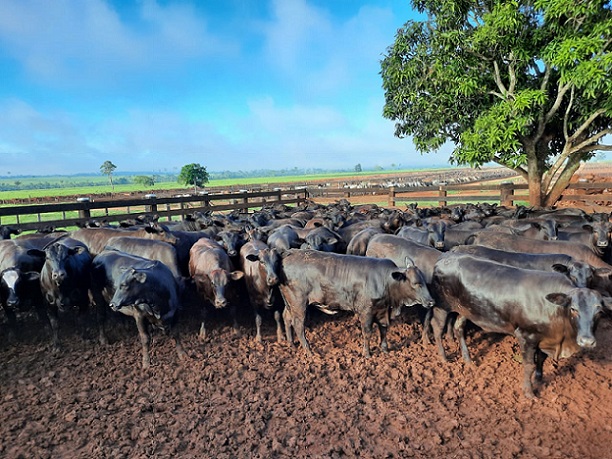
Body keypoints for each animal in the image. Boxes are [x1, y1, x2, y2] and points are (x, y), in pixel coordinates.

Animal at [280, 250, 432, 358]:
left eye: (424, 281)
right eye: (416, 283)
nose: (431, 301)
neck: (385, 281)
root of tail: (289, 254)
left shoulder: (382, 310)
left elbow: (384, 328)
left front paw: (385, 350)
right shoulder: (366, 311)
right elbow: (367, 332)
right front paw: (367, 354)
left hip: (290, 304)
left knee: (286, 318)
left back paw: (291, 344)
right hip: (299, 304)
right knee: (298, 326)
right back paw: (309, 352)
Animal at [430, 255, 612, 398]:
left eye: (600, 311)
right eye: (573, 309)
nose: (587, 341)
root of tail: (444, 258)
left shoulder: (544, 336)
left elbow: (541, 359)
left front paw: (539, 378)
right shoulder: (526, 335)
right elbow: (529, 365)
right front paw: (529, 392)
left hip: (466, 310)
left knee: (458, 327)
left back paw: (468, 359)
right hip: (442, 305)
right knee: (437, 326)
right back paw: (444, 357)